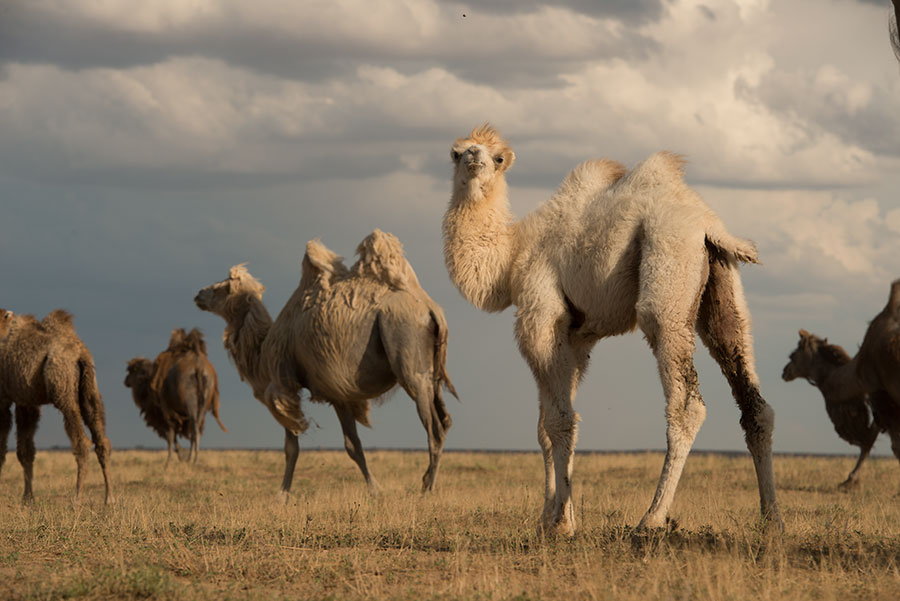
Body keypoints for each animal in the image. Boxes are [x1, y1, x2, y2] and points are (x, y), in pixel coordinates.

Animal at [0, 310, 112, 502]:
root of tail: (80, 353)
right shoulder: (26, 400)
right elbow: (25, 451)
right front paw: (28, 499)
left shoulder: (3, 398)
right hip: (89, 387)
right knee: (101, 438)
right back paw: (109, 499)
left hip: (62, 384)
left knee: (82, 440)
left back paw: (76, 499)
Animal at [125, 328, 227, 464]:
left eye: (131, 370)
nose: (125, 381)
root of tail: (198, 367)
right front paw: (181, 457)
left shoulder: (165, 409)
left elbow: (171, 435)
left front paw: (170, 460)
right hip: (204, 402)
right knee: (196, 428)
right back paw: (193, 458)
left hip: (190, 402)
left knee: (193, 429)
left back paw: (192, 459)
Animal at [192, 227, 454, 494]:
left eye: (220, 288)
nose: (198, 294)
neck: (262, 351)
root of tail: (432, 310)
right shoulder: (338, 392)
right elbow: (353, 445)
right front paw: (376, 491)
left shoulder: (283, 382)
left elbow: (292, 448)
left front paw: (282, 494)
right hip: (432, 373)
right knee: (445, 419)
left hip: (407, 356)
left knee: (434, 428)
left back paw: (426, 488)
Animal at [442, 123, 780, 536]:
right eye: (457, 152)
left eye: (499, 157)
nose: (474, 157)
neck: (510, 258)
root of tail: (707, 225)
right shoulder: (576, 337)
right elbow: (546, 427)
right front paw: (549, 518)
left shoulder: (541, 316)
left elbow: (558, 422)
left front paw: (562, 523)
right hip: (723, 286)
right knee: (754, 400)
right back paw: (772, 519)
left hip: (667, 275)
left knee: (686, 402)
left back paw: (651, 519)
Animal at [780, 330, 880, 486]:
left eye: (793, 355)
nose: (784, 372)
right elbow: (869, 439)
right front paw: (849, 480)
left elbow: (869, 440)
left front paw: (850, 480)